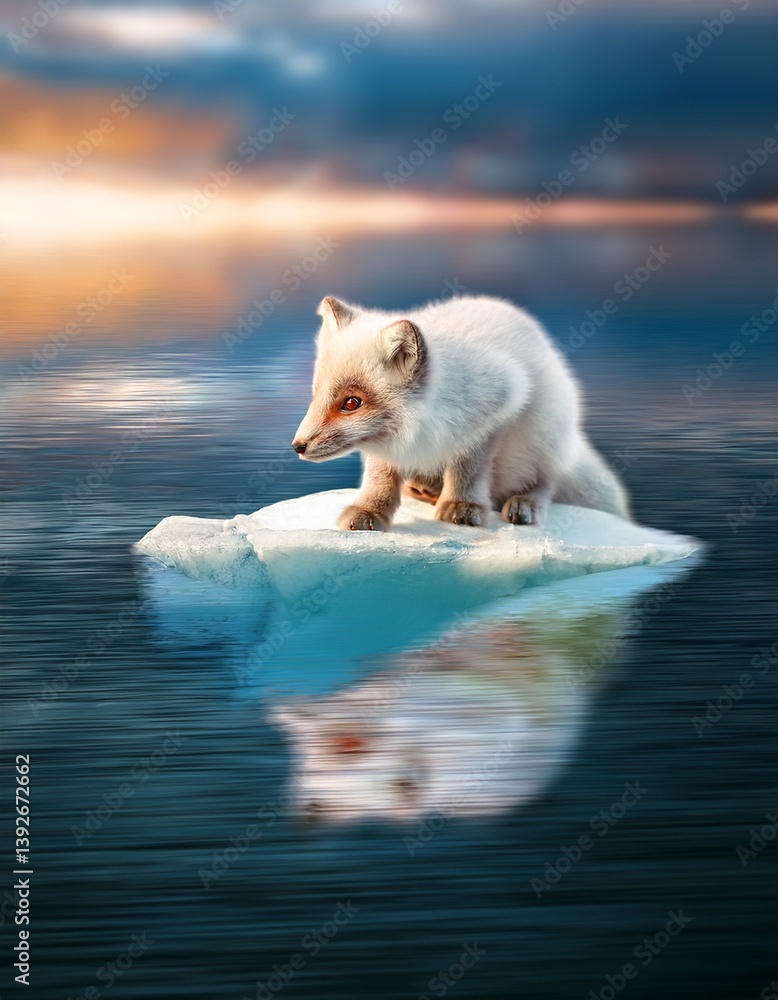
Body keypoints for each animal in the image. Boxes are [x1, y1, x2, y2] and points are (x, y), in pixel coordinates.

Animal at [292, 294, 629, 531]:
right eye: (315, 394)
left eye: (351, 403)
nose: (297, 446)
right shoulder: (385, 444)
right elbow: (380, 477)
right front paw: (369, 511)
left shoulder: (498, 408)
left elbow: (469, 466)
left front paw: (462, 505)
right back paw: (425, 489)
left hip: (544, 430)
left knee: (547, 479)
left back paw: (525, 503)